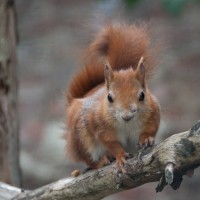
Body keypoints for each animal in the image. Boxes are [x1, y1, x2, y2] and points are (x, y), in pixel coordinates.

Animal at [65, 22, 160, 173]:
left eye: (142, 95)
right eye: (109, 97)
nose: (127, 115)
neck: (127, 124)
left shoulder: (153, 112)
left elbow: (151, 128)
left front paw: (146, 139)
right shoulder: (100, 126)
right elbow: (112, 144)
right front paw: (120, 157)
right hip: (81, 140)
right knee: (89, 159)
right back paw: (102, 160)